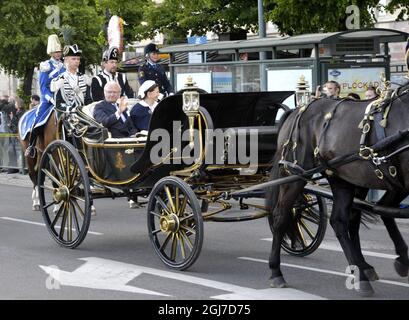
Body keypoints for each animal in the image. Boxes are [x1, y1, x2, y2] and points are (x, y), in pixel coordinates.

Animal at [266, 88, 408, 298]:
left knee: (343, 220)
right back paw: (276, 271)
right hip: (295, 176)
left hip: (345, 178)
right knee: (281, 216)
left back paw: (363, 270)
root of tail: (296, 110)